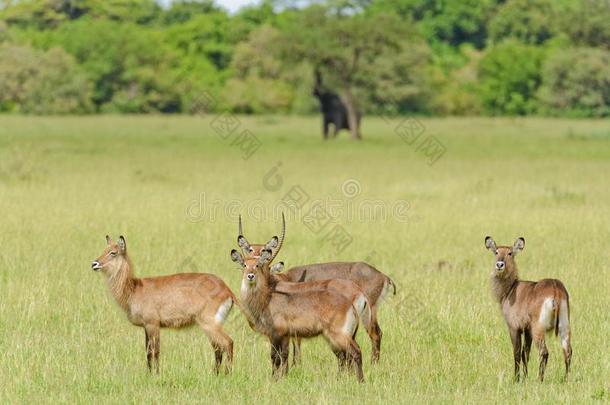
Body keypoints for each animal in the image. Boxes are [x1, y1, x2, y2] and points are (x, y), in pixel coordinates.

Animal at [92, 235, 235, 374]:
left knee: (228, 342)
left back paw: (227, 374)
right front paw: (149, 374)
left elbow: (155, 351)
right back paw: (215, 374)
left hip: (209, 324)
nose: (94, 263)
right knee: (218, 348)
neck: (134, 289)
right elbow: (148, 351)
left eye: (113, 252)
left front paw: (156, 374)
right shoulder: (146, 327)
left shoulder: (153, 324)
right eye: (104, 250)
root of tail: (227, 289)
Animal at [229, 243, 364, 382]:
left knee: (355, 352)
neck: (266, 299)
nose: (250, 276)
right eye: (244, 265)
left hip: (339, 335)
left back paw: (360, 381)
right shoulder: (284, 336)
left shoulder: (275, 334)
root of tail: (351, 304)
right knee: (345, 356)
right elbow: (282, 356)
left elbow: (275, 357)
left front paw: (274, 379)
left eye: (257, 265)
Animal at [235, 215, 392, 362]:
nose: (252, 269)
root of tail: (383, 276)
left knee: (374, 335)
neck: (274, 282)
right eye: (249, 249)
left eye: (264, 250)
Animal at [480, 235, 568, 380]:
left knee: (544, 352)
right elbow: (525, 354)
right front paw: (525, 377)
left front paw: (516, 379)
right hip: (564, 325)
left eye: (510, 253)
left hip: (539, 328)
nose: (499, 264)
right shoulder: (527, 330)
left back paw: (540, 379)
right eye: (496, 252)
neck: (510, 289)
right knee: (568, 351)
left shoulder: (514, 328)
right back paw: (566, 378)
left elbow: (516, 353)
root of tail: (555, 288)